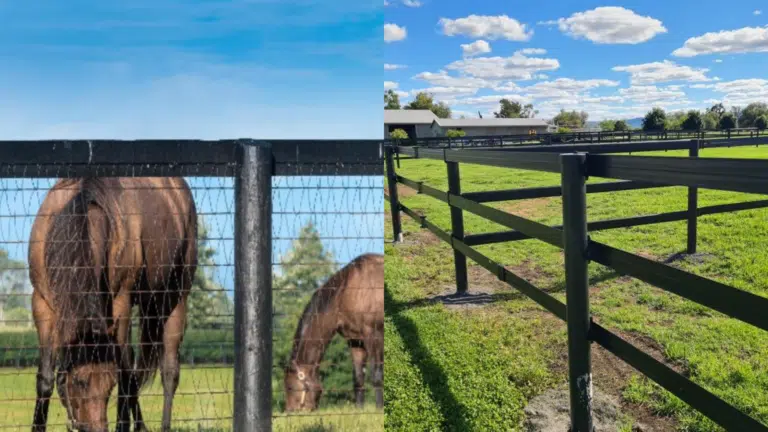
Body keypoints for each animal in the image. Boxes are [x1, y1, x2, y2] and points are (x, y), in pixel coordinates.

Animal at [28, 177, 197, 432]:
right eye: (79, 381)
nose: (97, 429)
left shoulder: (121, 302)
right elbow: (45, 378)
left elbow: (124, 374)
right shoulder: (42, 304)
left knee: (168, 371)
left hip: (174, 298)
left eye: (109, 385)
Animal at [283, 253, 384, 412]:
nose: (290, 411)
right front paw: (359, 410)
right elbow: (358, 377)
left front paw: (380, 409)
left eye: (290, 387)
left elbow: (377, 375)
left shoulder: (374, 336)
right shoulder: (355, 341)